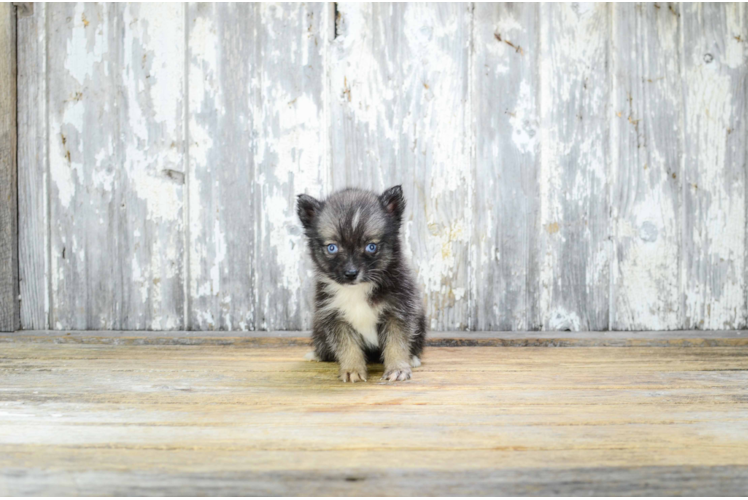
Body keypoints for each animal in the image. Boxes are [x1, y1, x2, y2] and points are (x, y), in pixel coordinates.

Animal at [296, 186, 426, 380]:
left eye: (371, 247)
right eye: (332, 248)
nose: (351, 274)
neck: (357, 289)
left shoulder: (398, 311)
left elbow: (396, 343)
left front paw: (397, 368)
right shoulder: (334, 316)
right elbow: (347, 346)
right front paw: (352, 369)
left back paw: (412, 358)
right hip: (319, 327)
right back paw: (318, 354)